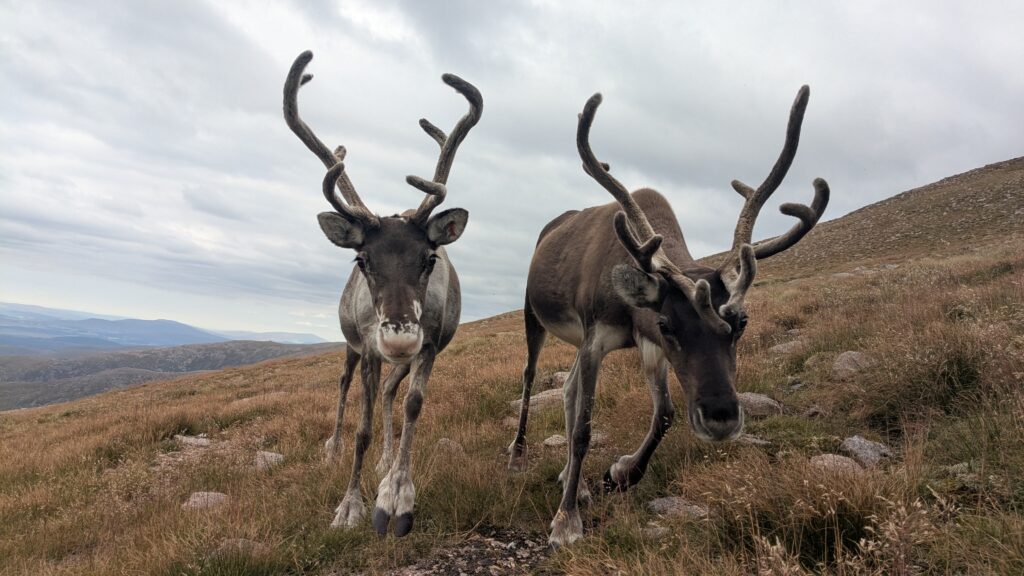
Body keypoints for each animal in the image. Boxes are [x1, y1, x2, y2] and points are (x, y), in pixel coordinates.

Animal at [283, 51, 482, 537]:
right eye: (362, 260)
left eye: (430, 258)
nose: (398, 336)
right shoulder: (371, 349)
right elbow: (363, 429)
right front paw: (348, 506)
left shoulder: (428, 346)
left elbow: (412, 405)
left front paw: (396, 495)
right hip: (352, 344)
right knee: (343, 385)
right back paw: (333, 449)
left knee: (393, 393)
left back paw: (386, 463)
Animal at [508, 86, 829, 547]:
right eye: (668, 323)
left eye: (742, 323)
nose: (721, 417)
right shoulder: (601, 337)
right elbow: (585, 427)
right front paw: (566, 520)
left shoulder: (645, 347)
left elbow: (664, 414)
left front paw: (619, 473)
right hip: (534, 315)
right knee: (531, 376)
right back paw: (519, 457)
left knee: (567, 388)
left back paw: (575, 478)